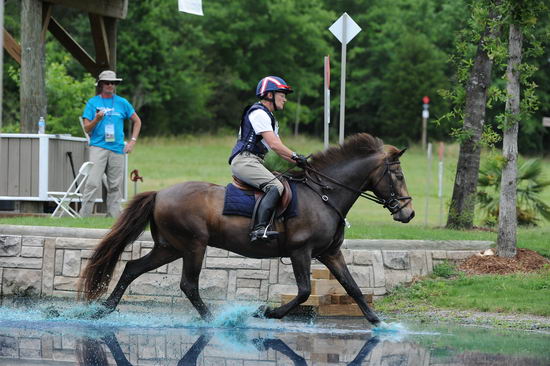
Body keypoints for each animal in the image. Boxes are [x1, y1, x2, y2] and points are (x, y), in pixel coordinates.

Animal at [80, 133, 416, 328]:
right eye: (398, 175)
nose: (409, 213)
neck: (324, 194)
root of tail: (160, 193)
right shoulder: (301, 251)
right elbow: (304, 291)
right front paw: (265, 312)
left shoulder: (330, 253)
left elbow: (353, 287)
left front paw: (379, 323)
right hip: (193, 245)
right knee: (188, 285)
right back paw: (216, 321)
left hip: (170, 247)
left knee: (132, 268)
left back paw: (103, 311)